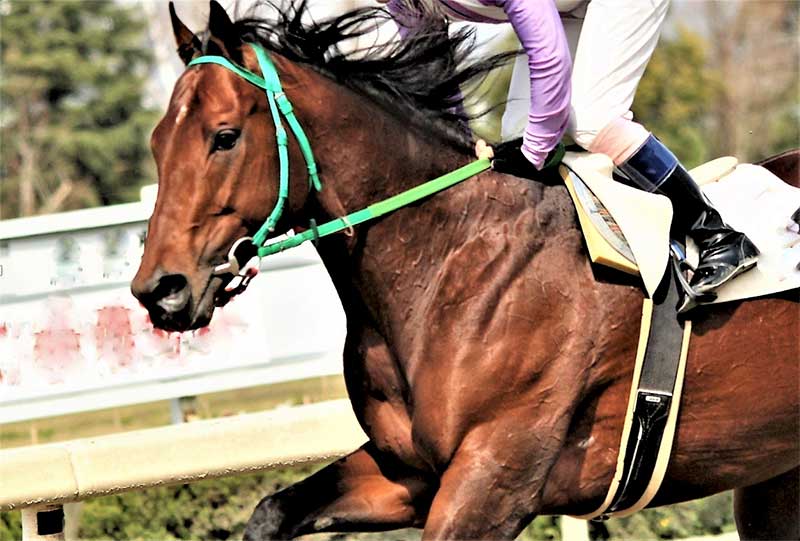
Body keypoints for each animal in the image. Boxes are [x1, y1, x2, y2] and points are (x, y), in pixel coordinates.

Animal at [131, 2, 800, 539]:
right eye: (158, 142)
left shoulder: (494, 476)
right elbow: (272, 511)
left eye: (224, 137)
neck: (448, 260)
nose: (159, 291)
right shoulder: (407, 470)